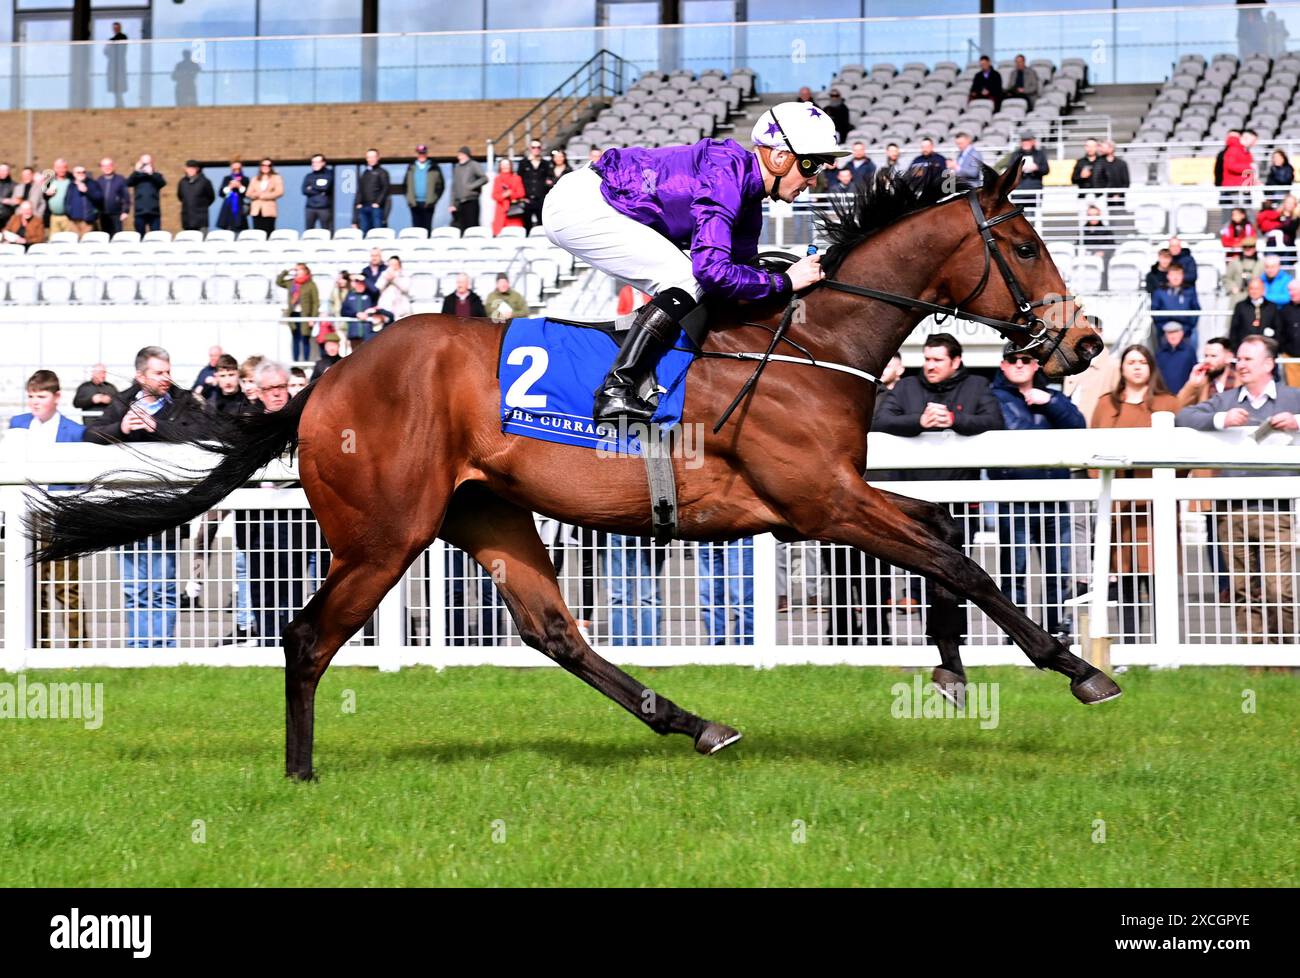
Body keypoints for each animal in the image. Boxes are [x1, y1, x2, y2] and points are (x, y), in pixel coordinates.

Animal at [27, 162, 1118, 780]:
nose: (1084, 341)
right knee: (306, 637)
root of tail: (325, 380)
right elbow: (953, 553)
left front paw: (952, 665)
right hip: (382, 534)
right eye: (1026, 244)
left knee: (554, 631)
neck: (810, 341)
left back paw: (695, 724)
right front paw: (1077, 669)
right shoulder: (815, 501)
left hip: (487, 515)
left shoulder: (831, 497)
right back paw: (300, 776)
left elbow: (944, 531)